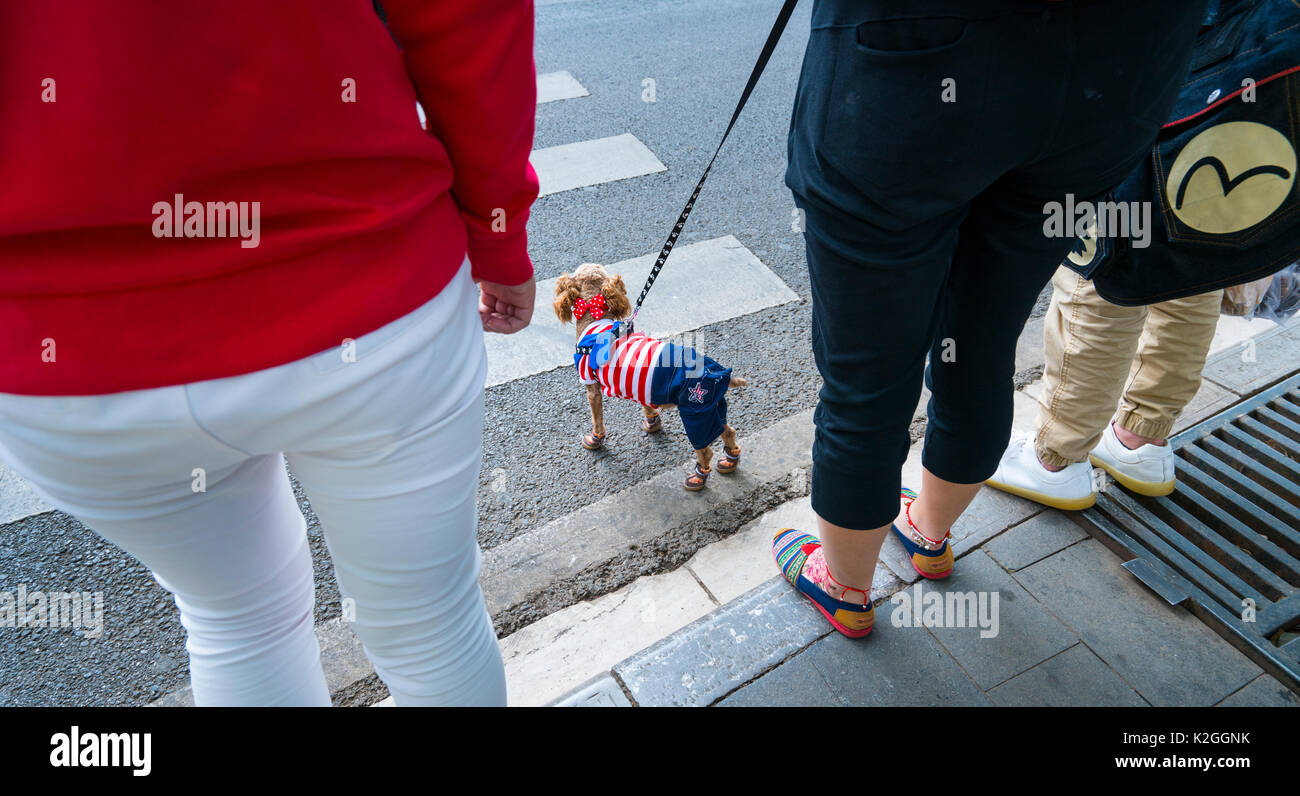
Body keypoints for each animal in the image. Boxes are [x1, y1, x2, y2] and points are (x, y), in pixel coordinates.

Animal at [553, 265, 748, 491]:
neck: (595, 318)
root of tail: (717, 371)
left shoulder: (591, 386)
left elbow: (597, 419)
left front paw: (595, 440)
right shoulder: (640, 385)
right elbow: (646, 405)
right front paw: (653, 422)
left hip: (695, 414)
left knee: (705, 450)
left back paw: (698, 477)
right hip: (712, 410)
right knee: (729, 431)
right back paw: (730, 461)